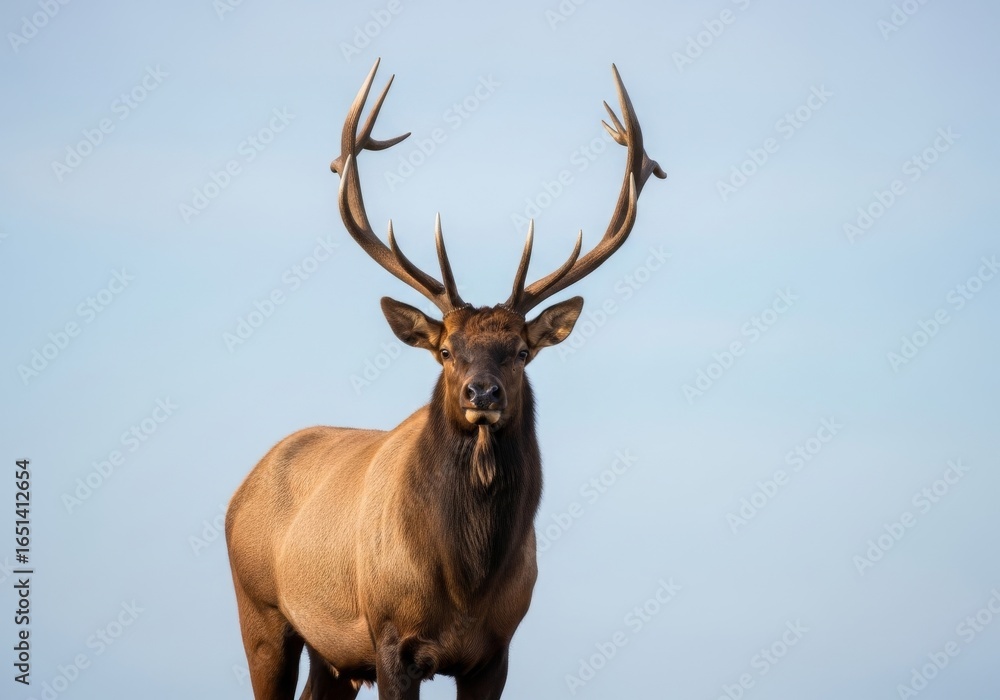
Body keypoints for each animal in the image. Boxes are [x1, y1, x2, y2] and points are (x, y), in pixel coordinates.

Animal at [225, 58, 665, 700]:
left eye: (521, 352)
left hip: (331, 654)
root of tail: (241, 490)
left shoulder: (495, 652)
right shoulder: (390, 639)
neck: (465, 586)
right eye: (447, 350)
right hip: (260, 612)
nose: (482, 393)